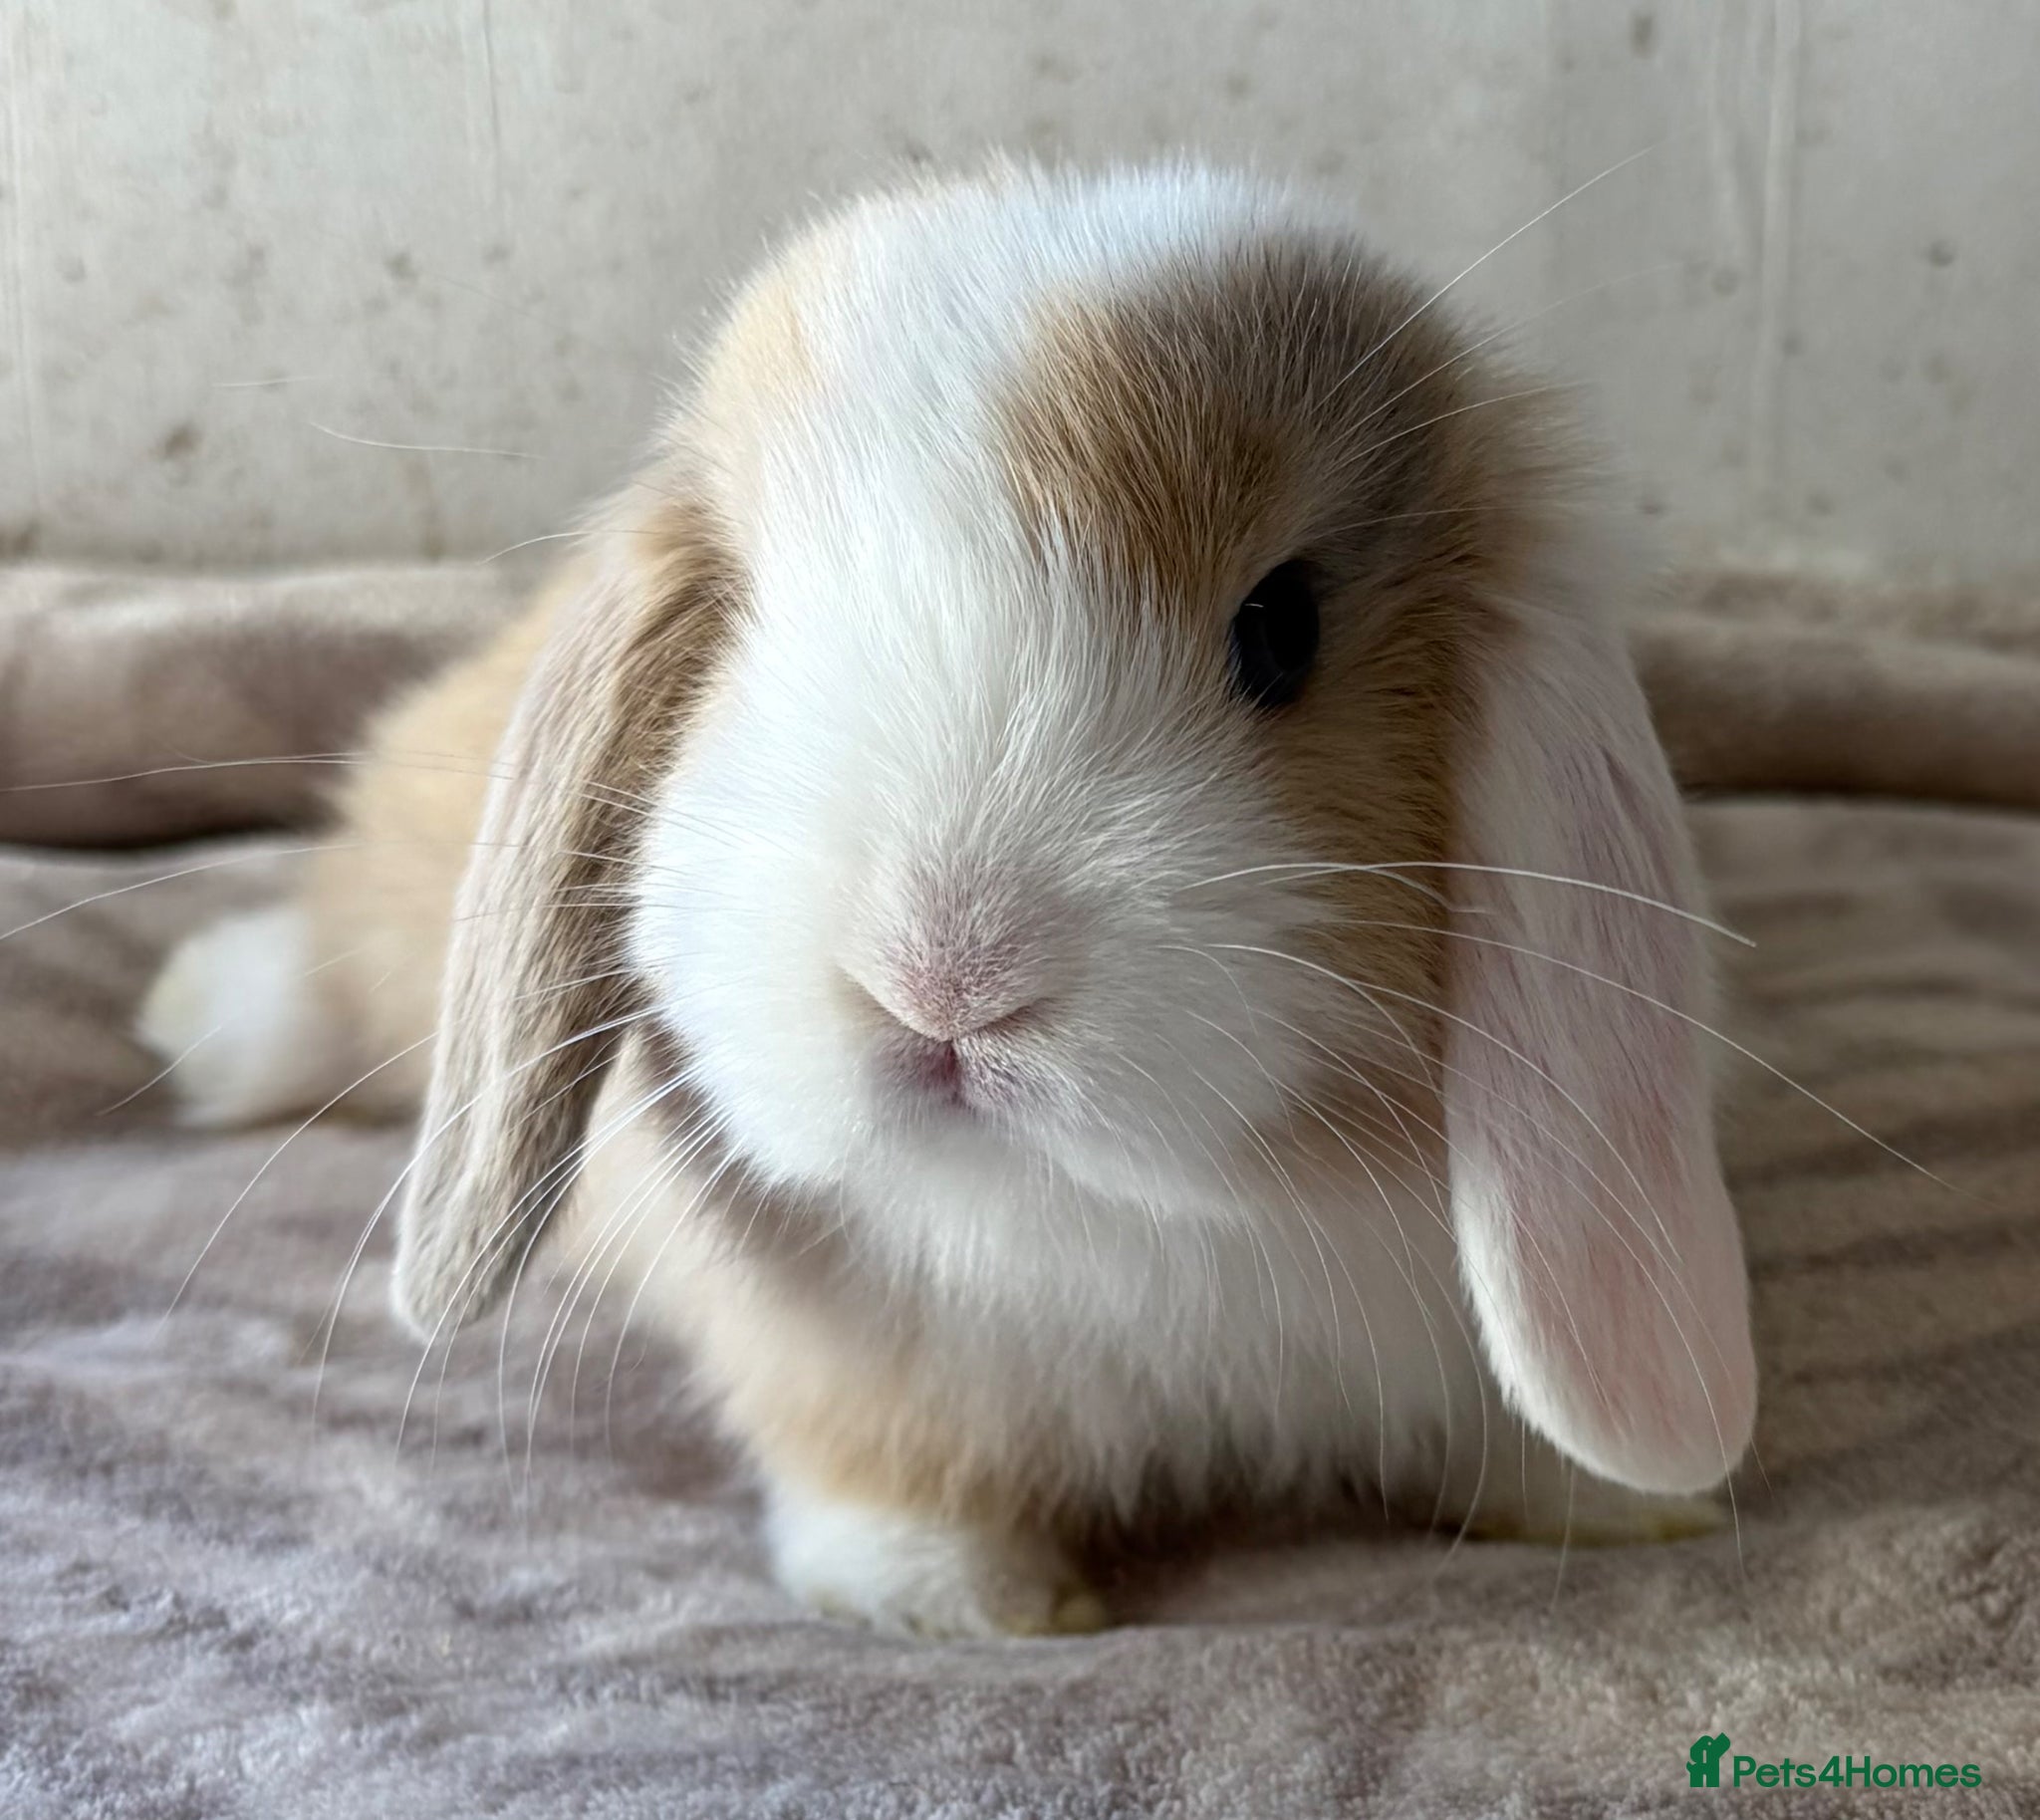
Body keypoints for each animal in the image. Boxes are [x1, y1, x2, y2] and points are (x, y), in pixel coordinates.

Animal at [140, 162, 1757, 1637]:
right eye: (747, 622)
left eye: (1280, 628)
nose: (944, 978)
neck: (1088, 1219)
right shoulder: (842, 1370)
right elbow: (889, 1477)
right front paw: (951, 1601)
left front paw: (1623, 1508)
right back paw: (197, 1025)